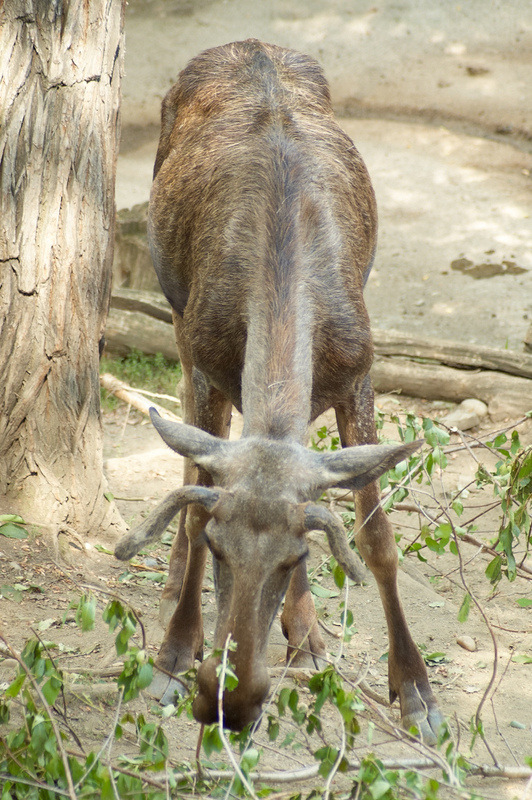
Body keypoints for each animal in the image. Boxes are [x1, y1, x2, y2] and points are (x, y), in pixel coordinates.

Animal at [115, 39, 444, 744]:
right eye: (220, 550)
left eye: (295, 557)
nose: (231, 702)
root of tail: (250, 44)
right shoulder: (207, 362)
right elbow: (195, 501)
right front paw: (174, 654)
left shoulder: (358, 371)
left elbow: (377, 539)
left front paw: (415, 691)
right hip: (174, 310)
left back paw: (308, 636)